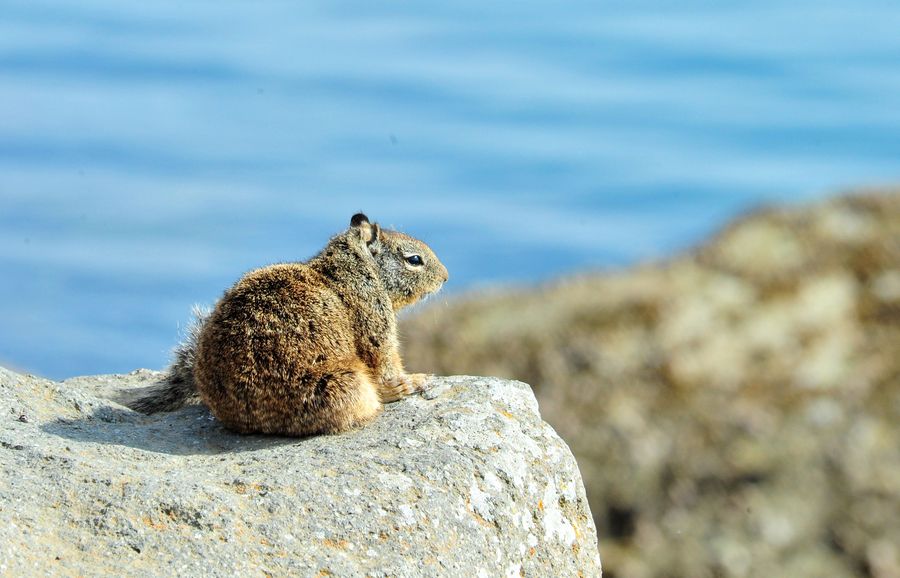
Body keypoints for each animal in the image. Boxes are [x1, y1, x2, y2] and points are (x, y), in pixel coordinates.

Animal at [125, 214, 448, 434]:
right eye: (414, 259)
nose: (446, 277)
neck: (355, 265)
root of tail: (247, 420)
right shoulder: (375, 321)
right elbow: (385, 362)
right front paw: (413, 380)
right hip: (345, 384)